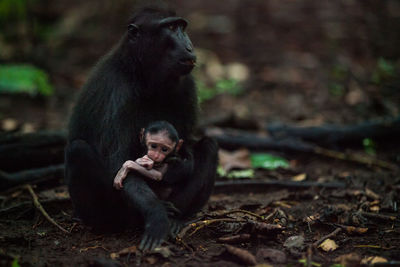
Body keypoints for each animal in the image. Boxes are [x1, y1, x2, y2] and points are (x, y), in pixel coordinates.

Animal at [65, 7, 219, 252]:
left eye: (181, 27)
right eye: (171, 28)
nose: (189, 45)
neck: (141, 74)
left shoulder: (187, 85)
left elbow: (186, 147)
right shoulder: (117, 92)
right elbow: (119, 163)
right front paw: (157, 216)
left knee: (210, 146)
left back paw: (176, 219)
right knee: (78, 150)